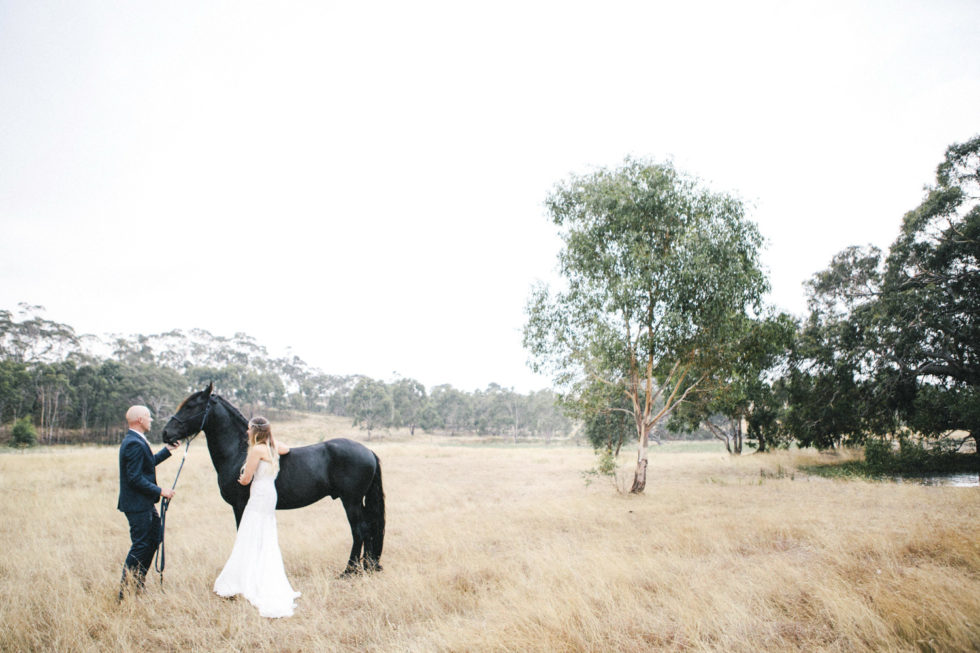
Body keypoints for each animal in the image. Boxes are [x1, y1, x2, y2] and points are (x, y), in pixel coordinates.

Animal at [163, 382, 384, 572]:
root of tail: (368, 451)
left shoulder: (240, 505)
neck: (239, 452)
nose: (166, 433)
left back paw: (349, 571)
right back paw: (367, 568)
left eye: (190, 406)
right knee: (369, 530)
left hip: (351, 501)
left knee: (359, 530)